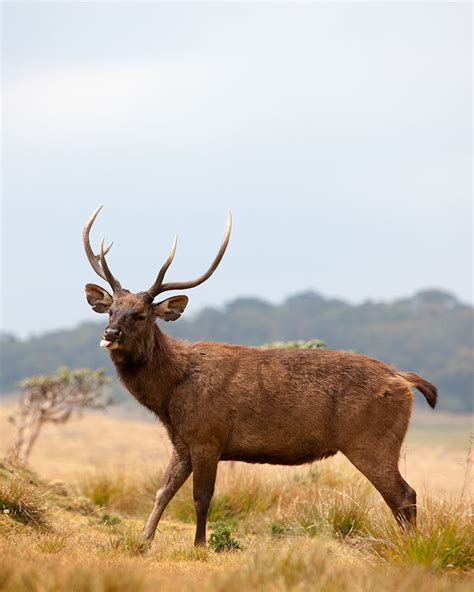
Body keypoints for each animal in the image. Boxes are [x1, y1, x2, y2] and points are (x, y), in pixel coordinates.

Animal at [82, 207, 436, 544]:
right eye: (111, 310)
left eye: (141, 315)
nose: (110, 333)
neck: (170, 394)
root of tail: (404, 379)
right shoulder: (182, 441)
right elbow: (162, 491)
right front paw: (144, 539)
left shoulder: (208, 435)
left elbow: (201, 498)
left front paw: (200, 545)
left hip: (371, 440)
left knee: (404, 495)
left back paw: (411, 549)